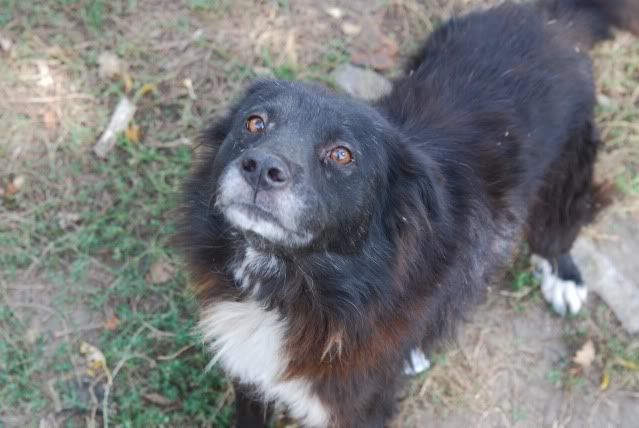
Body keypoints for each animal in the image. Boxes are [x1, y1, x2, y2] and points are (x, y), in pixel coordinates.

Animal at [176, 1, 639, 426]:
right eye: (254, 123)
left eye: (342, 154)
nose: (261, 168)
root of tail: (549, 16)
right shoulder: (249, 372)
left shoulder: (359, 405)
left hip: (569, 165)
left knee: (560, 225)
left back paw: (564, 275)